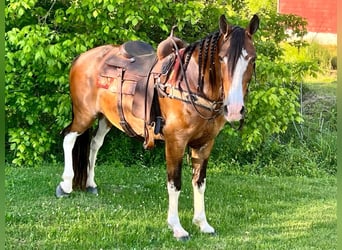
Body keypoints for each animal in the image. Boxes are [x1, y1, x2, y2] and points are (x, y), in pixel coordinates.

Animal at [56, 14, 260, 240]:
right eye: (222, 58)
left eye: (252, 59)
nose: (234, 109)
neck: (189, 85)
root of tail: (81, 57)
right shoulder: (175, 142)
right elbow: (175, 184)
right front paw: (177, 227)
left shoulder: (205, 143)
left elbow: (200, 183)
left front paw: (203, 223)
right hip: (84, 114)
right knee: (69, 137)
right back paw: (65, 185)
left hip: (106, 118)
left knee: (94, 144)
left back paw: (90, 184)